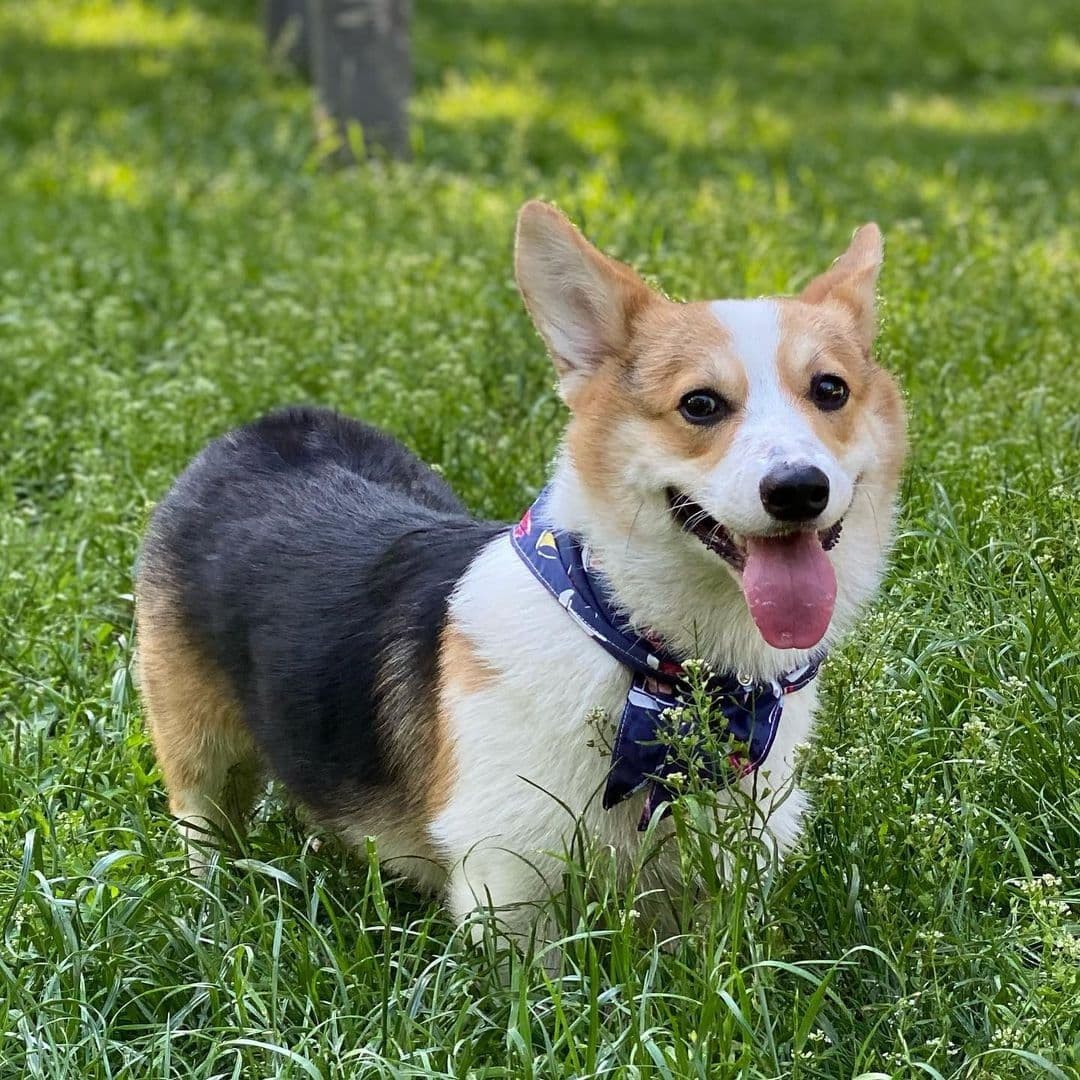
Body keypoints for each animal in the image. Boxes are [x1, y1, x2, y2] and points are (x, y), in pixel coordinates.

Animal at [137, 200, 911, 937]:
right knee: (203, 821)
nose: (799, 489)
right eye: (699, 403)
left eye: (831, 390)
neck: (647, 657)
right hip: (199, 747)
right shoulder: (509, 880)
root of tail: (260, 432)